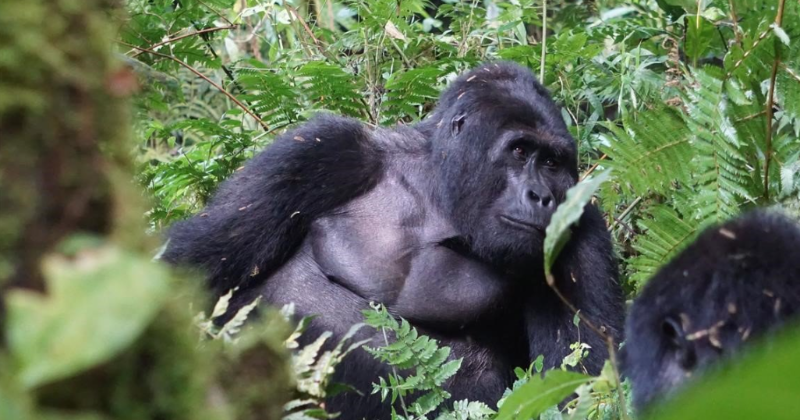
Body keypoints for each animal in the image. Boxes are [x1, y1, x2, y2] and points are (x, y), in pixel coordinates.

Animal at [164, 60, 624, 418]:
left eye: (553, 163)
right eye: (520, 151)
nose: (542, 197)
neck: (438, 193)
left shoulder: (582, 223)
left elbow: (584, 382)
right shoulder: (322, 150)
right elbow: (196, 262)